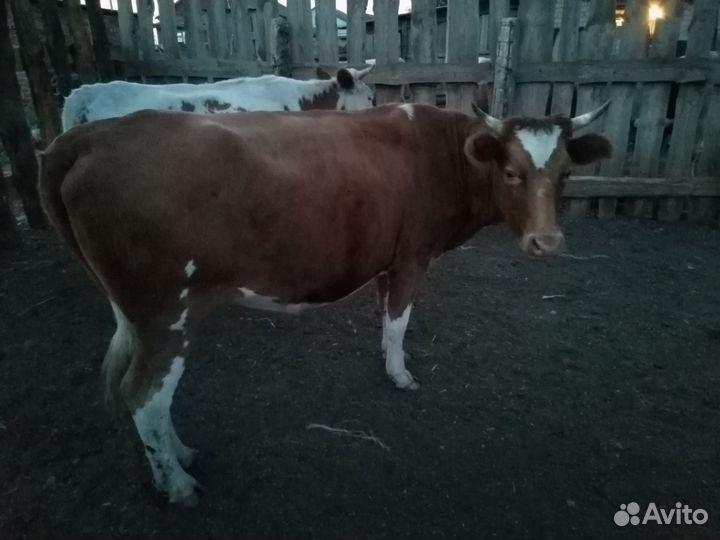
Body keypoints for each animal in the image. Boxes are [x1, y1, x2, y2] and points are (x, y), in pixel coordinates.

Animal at [40, 101, 611, 506]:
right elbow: (400, 321)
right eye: (512, 171)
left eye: (565, 173)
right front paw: (400, 375)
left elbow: (386, 318)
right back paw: (176, 484)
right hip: (164, 313)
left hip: (138, 316)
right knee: (144, 395)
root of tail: (90, 136)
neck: (444, 154)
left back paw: (180, 455)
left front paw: (385, 360)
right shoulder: (413, 256)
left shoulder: (387, 260)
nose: (547, 243)